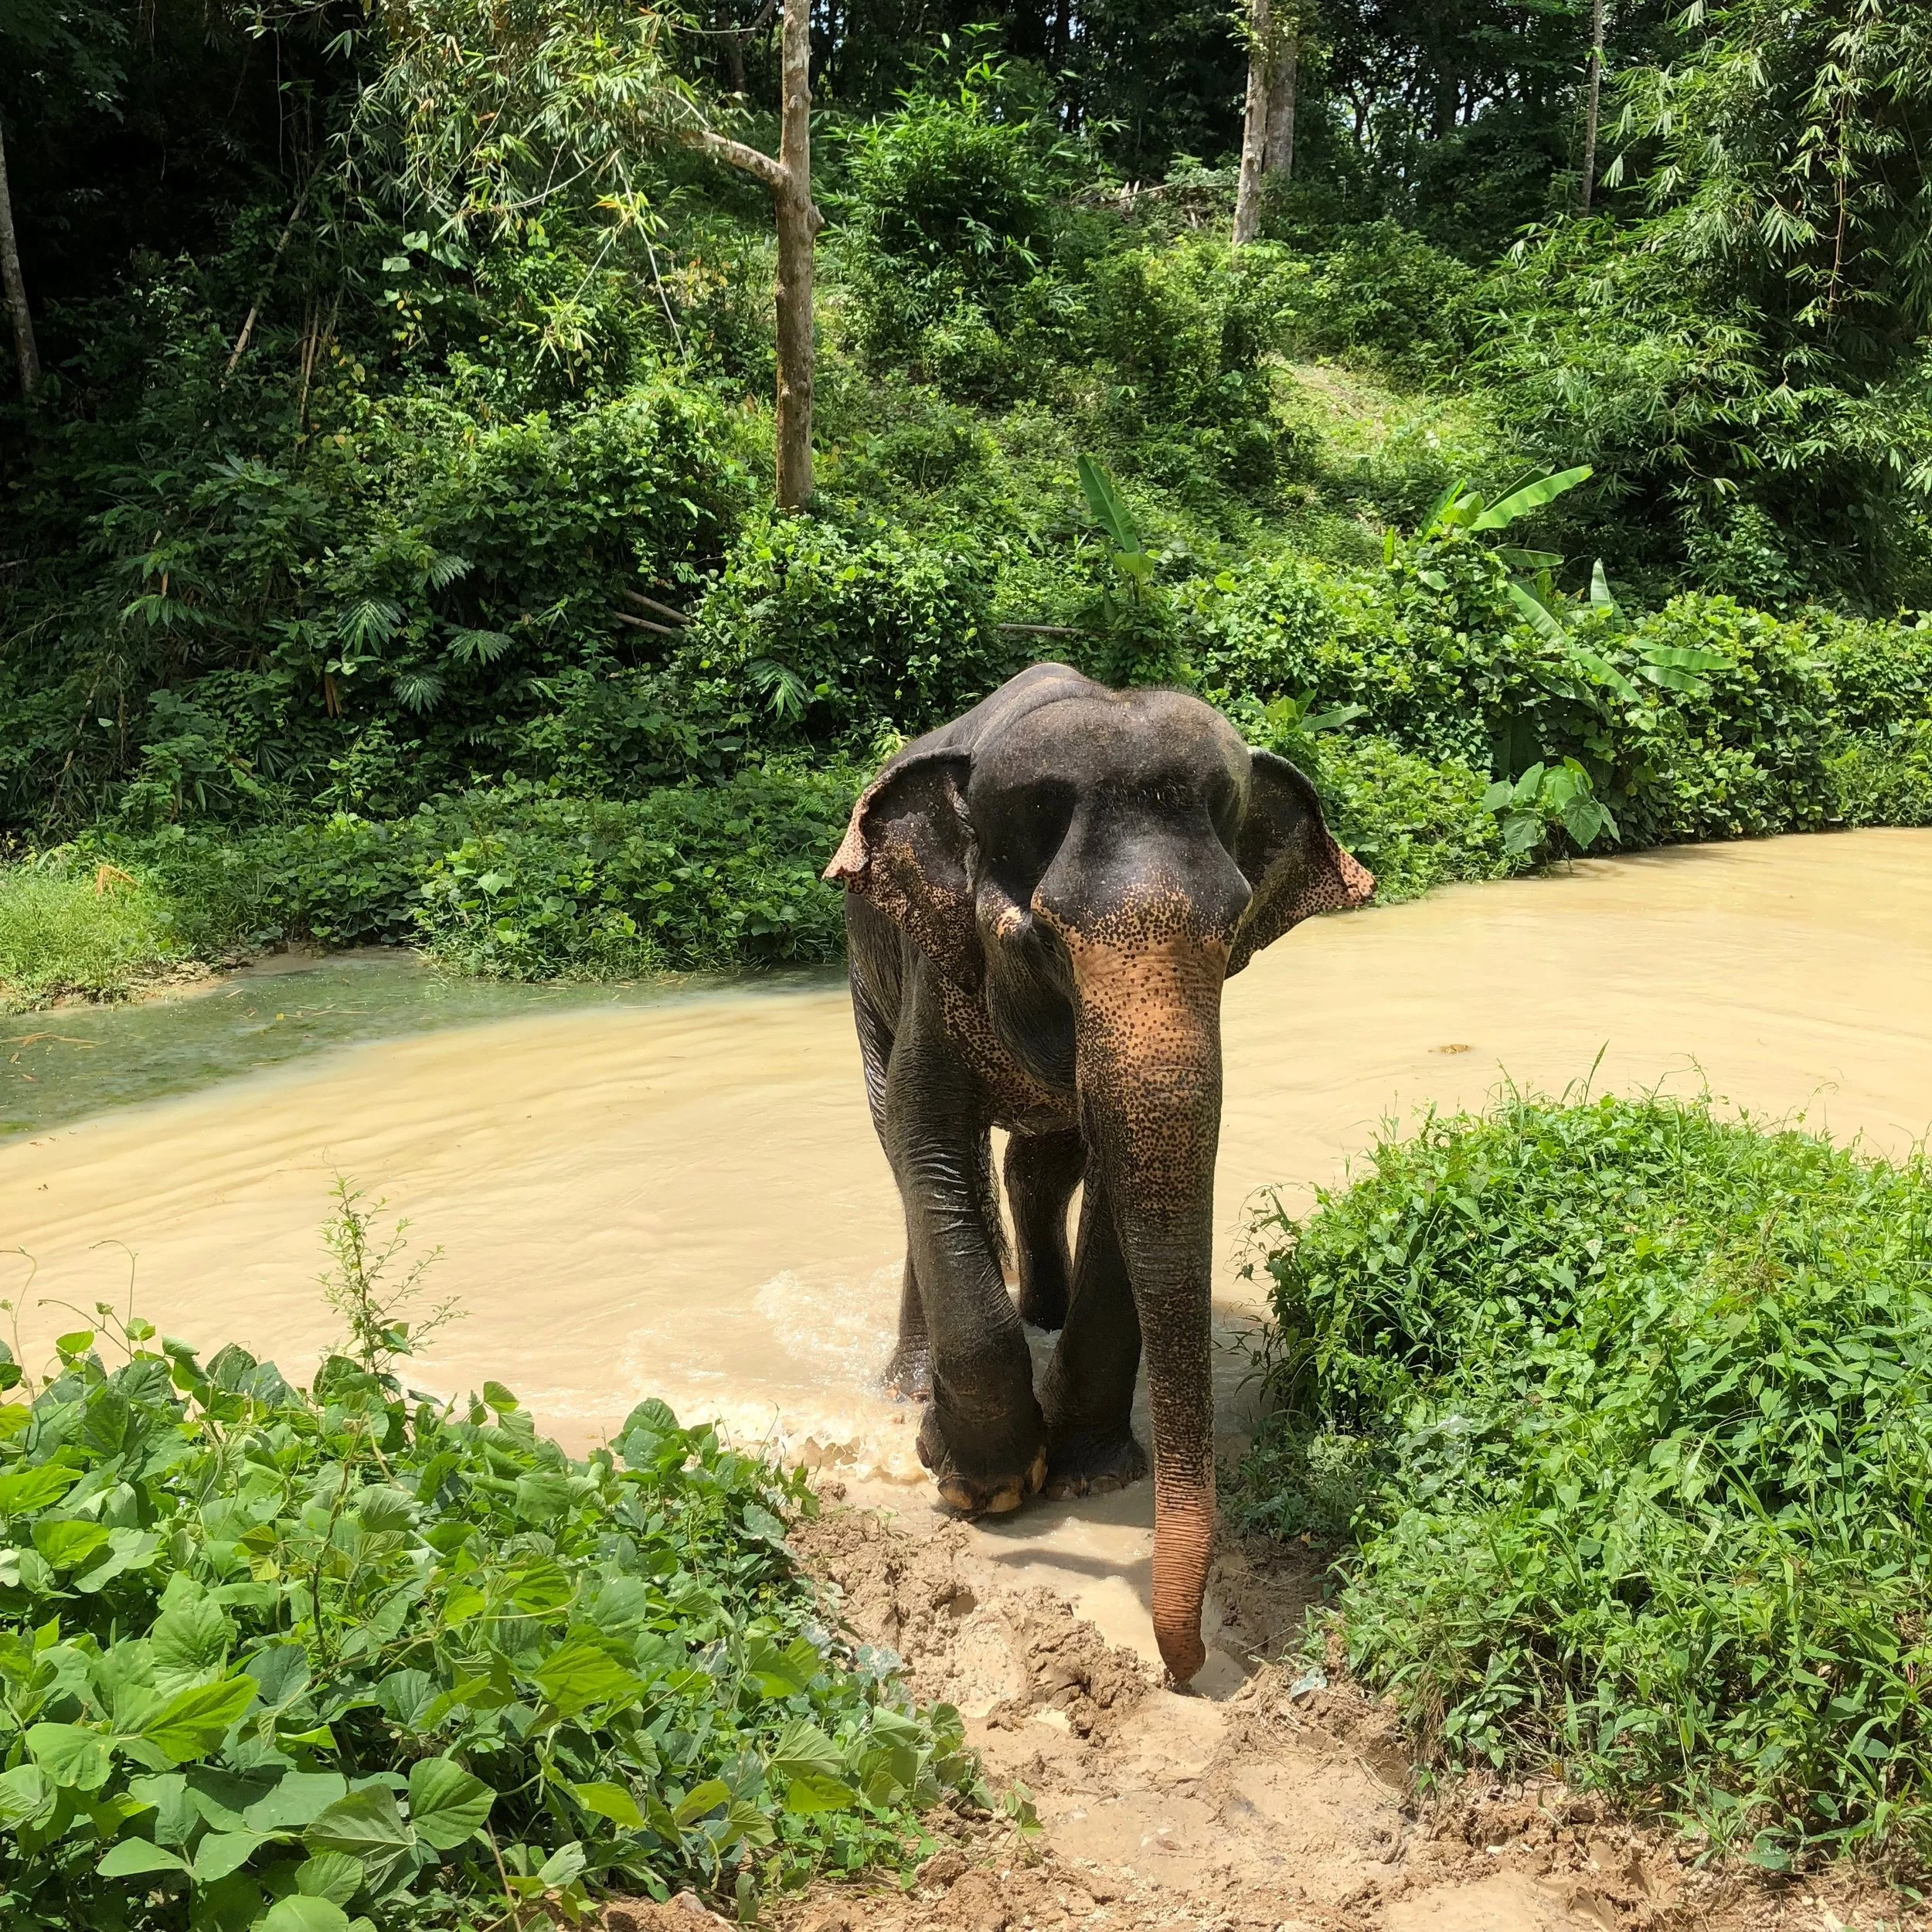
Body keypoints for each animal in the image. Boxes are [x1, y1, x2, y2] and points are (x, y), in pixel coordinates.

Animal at [824, 663, 1373, 1682]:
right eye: (1042, 939)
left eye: (1234, 931)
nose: (1183, 1668)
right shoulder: (931, 967)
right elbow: (928, 1145)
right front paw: (981, 1484)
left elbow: (1127, 1165)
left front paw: (1092, 1470)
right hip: (861, 971)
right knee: (907, 1158)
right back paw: (910, 1387)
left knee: (1041, 1161)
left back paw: (1039, 1310)